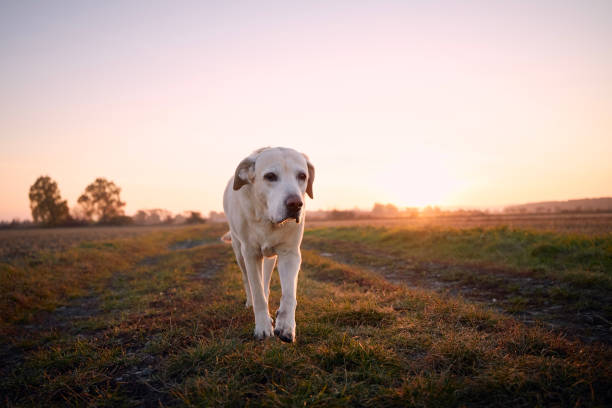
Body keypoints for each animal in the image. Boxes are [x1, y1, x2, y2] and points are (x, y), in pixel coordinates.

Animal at [221, 147, 314, 342]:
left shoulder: (290, 254)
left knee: (265, 280)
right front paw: (263, 327)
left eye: (302, 176)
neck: (267, 220)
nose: (295, 204)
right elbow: (257, 293)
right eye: (270, 176)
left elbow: (289, 294)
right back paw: (249, 301)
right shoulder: (250, 254)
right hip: (238, 251)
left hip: (270, 258)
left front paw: (286, 325)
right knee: (247, 280)